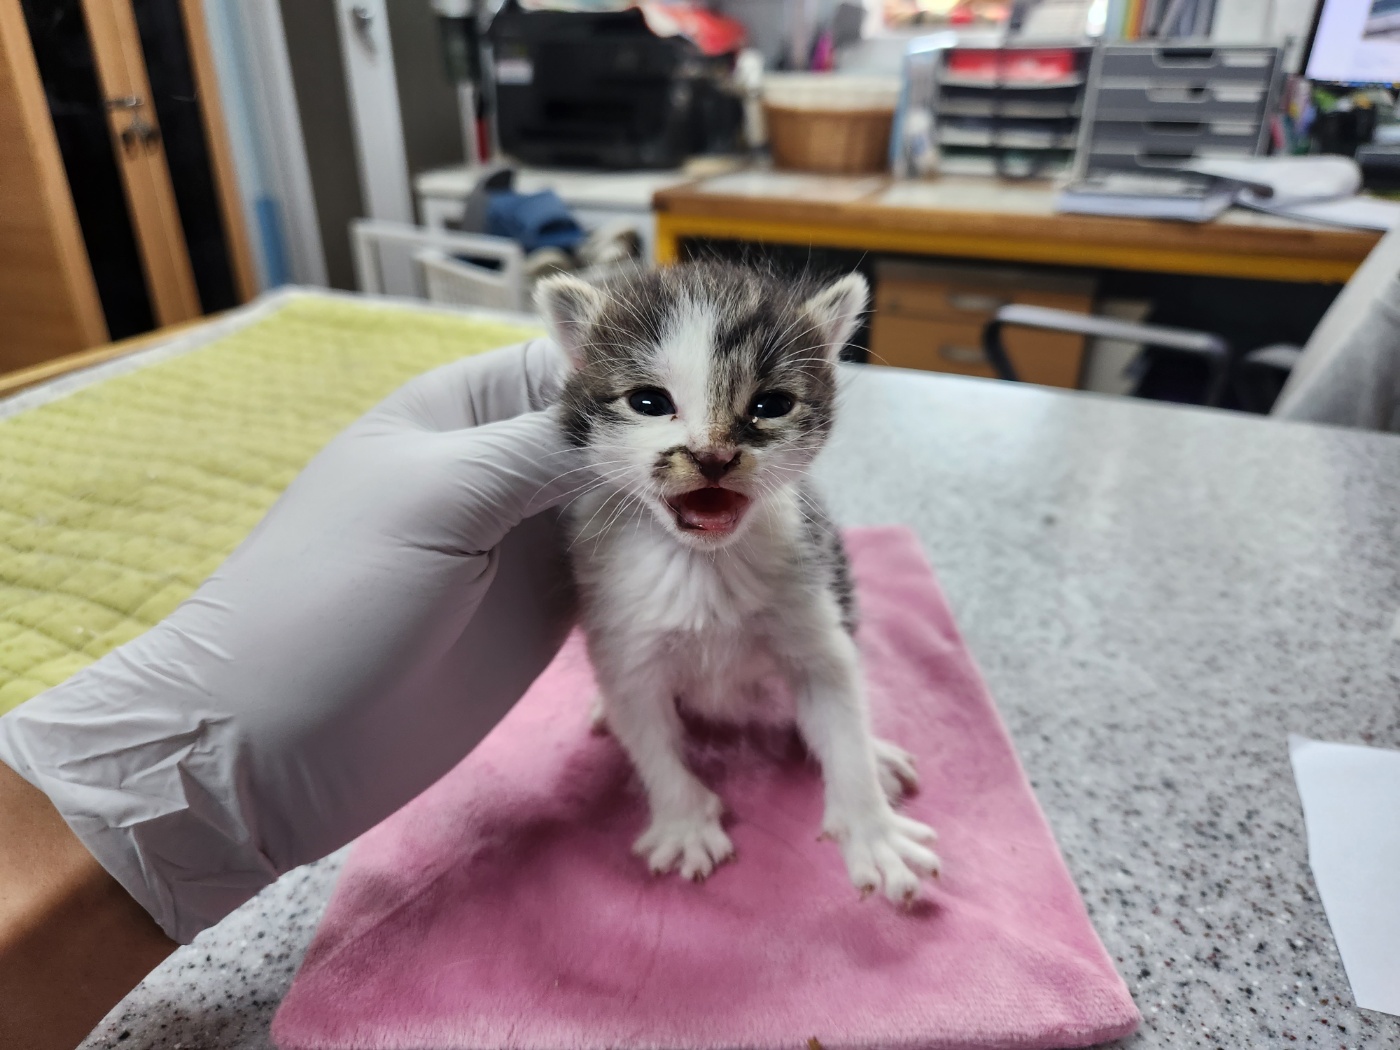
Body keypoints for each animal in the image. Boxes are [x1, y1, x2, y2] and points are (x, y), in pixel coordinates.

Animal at [537, 261, 940, 907]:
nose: (713, 456)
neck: (704, 565)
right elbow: (647, 729)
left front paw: (873, 830)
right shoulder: (623, 634)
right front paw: (683, 821)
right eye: (649, 402)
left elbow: (840, 710)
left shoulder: (812, 606)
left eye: (771, 404)